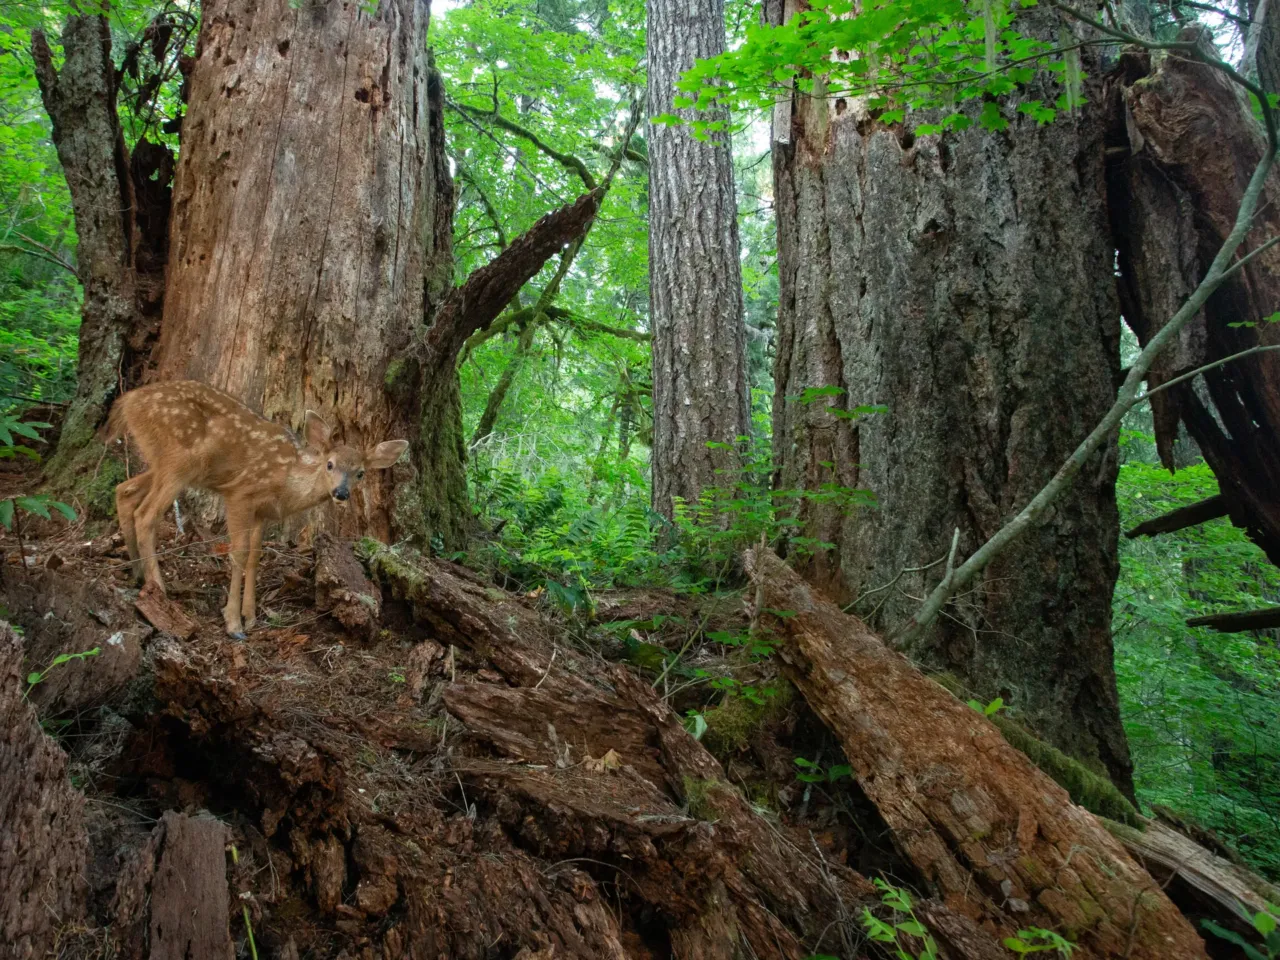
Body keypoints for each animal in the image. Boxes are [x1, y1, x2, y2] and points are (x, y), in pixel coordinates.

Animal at [108, 380, 408, 639]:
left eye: (360, 473)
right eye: (330, 464)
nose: (341, 493)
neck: (286, 482)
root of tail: (128, 401)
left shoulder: (262, 512)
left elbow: (255, 556)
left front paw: (250, 616)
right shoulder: (240, 494)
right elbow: (239, 553)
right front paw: (233, 623)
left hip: (163, 461)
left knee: (125, 491)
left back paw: (137, 573)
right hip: (178, 460)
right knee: (146, 514)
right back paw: (158, 589)